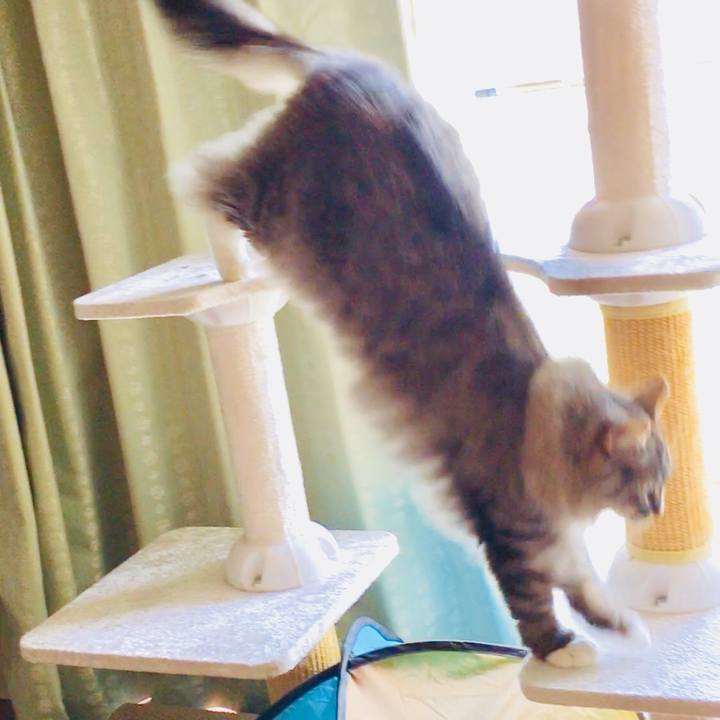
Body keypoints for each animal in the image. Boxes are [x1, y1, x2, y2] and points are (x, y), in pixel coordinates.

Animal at [151, 0, 671, 667]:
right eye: (649, 485)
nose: (660, 508)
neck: (535, 422)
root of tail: (347, 67)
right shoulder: (509, 528)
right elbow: (537, 602)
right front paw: (560, 650)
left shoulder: (554, 537)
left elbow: (585, 585)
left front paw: (619, 625)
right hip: (272, 205)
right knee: (204, 173)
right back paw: (230, 267)